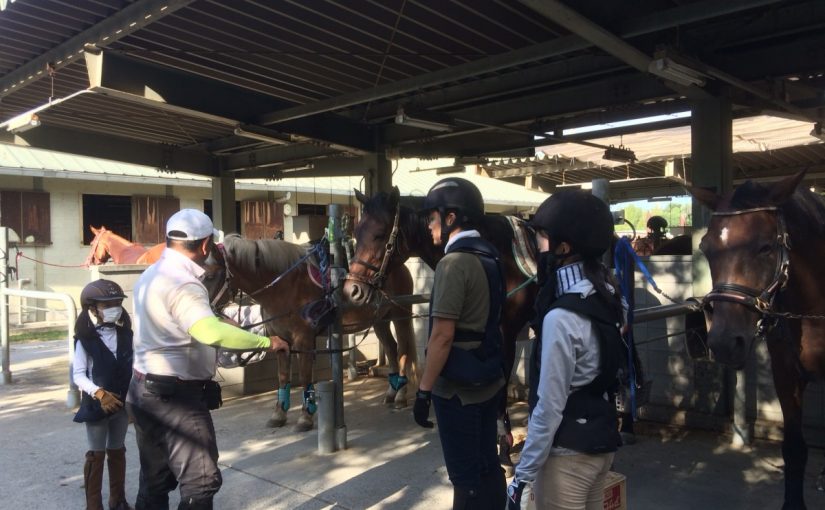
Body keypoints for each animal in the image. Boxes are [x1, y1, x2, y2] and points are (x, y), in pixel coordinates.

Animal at [205, 233, 418, 432]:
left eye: (209, 276)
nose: (206, 310)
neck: (284, 287)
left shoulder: (303, 340)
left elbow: (306, 377)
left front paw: (305, 418)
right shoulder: (281, 341)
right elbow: (283, 378)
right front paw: (278, 415)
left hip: (400, 316)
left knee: (402, 350)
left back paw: (400, 396)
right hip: (379, 320)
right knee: (391, 348)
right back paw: (391, 393)